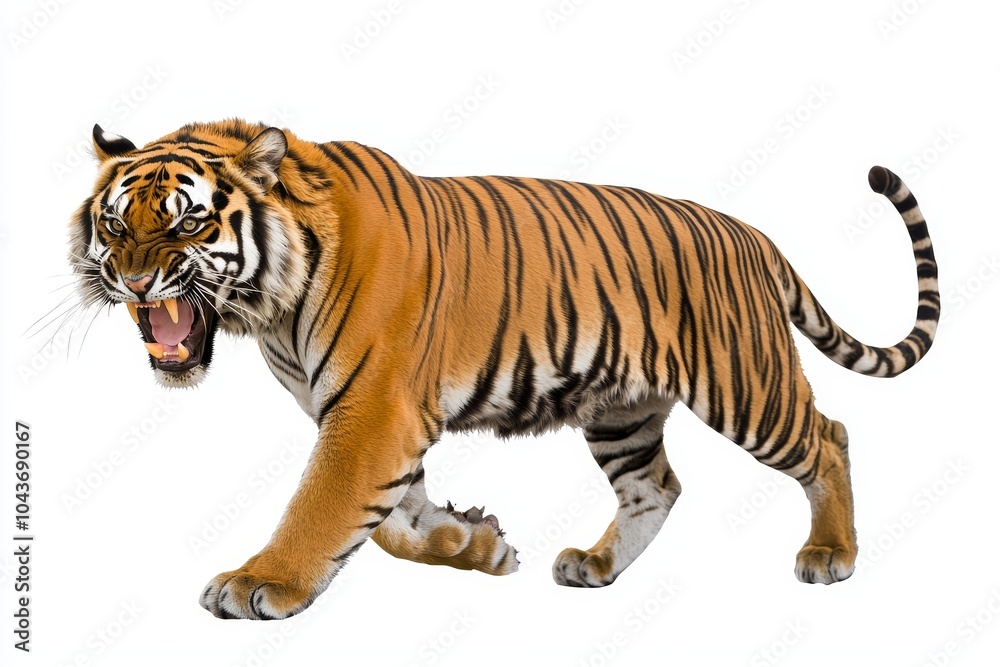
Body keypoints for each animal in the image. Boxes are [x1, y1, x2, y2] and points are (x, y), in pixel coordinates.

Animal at [71, 119, 939, 620]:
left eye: (186, 223)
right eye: (114, 226)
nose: (133, 282)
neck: (272, 307)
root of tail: (755, 236)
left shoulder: (373, 410)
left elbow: (323, 505)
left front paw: (263, 582)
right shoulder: (371, 415)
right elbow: (394, 520)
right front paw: (476, 546)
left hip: (746, 385)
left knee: (829, 436)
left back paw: (831, 555)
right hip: (621, 409)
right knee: (656, 486)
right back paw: (595, 566)